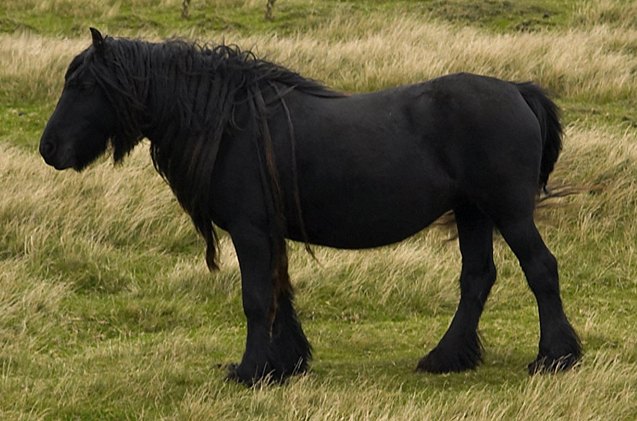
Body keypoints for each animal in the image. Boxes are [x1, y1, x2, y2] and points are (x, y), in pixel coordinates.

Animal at [37, 28, 580, 384]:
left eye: (83, 86)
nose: (48, 149)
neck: (230, 125)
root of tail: (517, 91)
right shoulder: (268, 233)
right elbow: (280, 294)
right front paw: (286, 363)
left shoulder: (251, 231)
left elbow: (257, 298)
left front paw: (251, 371)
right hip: (472, 213)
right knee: (477, 279)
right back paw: (446, 358)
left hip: (508, 212)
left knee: (541, 269)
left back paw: (554, 358)